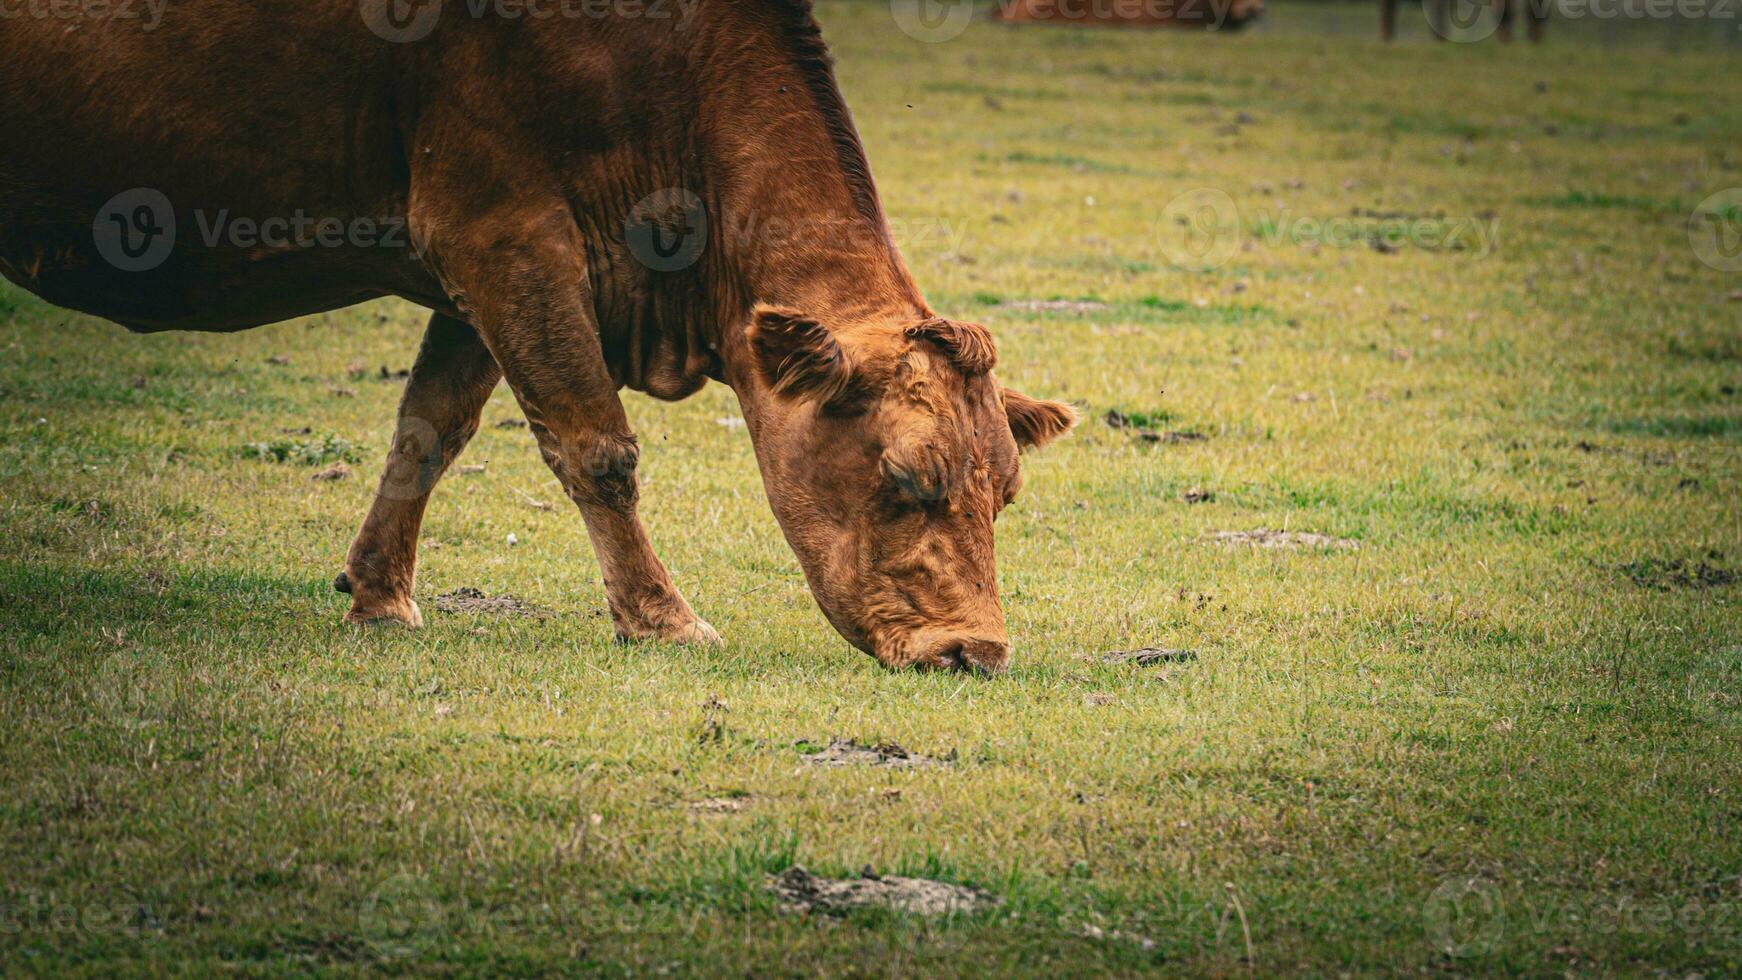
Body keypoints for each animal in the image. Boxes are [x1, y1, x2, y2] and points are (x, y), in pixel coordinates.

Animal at [0, 0, 1073, 675]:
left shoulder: (484, 266)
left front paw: (378, 594)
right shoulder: (502, 231)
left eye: (1006, 490)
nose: (975, 651)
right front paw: (661, 619)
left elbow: (429, 430)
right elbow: (597, 447)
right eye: (906, 477)